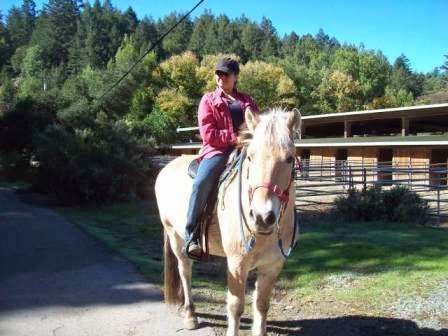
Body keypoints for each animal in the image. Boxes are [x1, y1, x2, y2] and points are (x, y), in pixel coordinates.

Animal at [154, 107, 300, 336]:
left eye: (289, 158)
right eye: (250, 157)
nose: (262, 217)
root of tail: (166, 167)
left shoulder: (272, 266)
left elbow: (262, 305)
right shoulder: (237, 264)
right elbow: (236, 306)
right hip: (176, 237)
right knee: (185, 271)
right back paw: (190, 315)